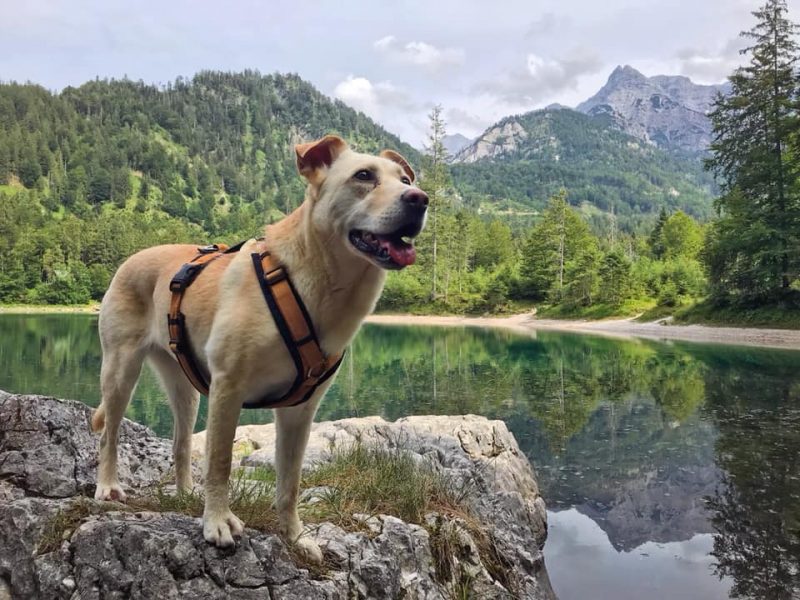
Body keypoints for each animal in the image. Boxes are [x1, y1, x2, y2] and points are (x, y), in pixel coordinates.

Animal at [90, 135, 428, 556]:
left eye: (404, 179)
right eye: (363, 176)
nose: (420, 199)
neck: (316, 284)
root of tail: (132, 257)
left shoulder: (301, 410)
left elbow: (290, 482)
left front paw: (295, 537)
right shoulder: (228, 387)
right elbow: (219, 462)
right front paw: (217, 522)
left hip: (186, 386)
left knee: (181, 441)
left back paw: (185, 494)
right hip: (120, 369)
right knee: (110, 433)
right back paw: (108, 486)